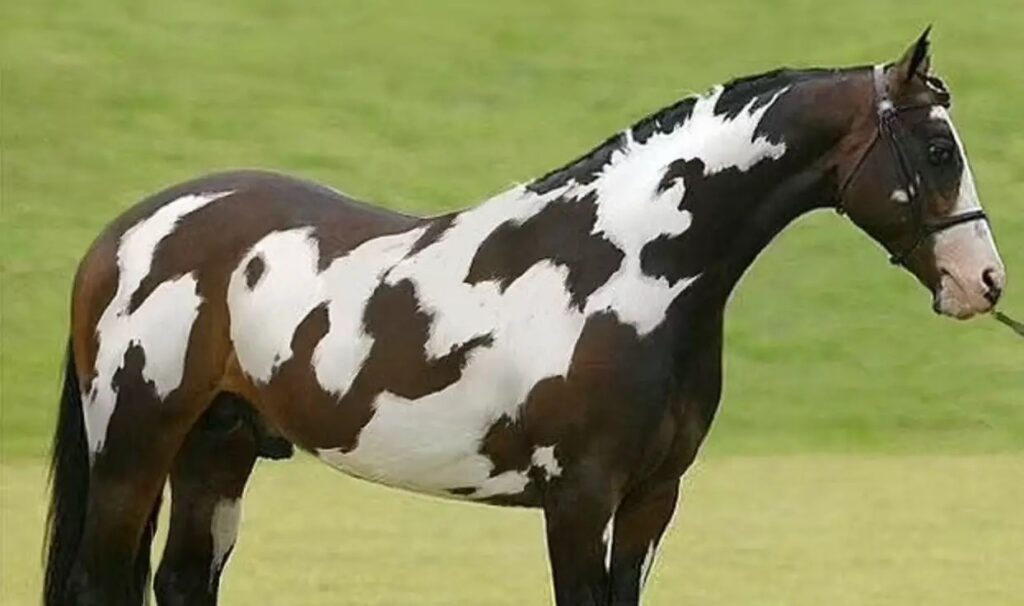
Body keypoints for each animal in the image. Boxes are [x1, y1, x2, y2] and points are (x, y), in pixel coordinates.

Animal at [44, 29, 1006, 605]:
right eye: (936, 149)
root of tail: (125, 233)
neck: (631, 272)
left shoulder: (652, 498)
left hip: (218, 449)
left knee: (182, 581)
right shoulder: (578, 499)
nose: (985, 282)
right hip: (132, 450)